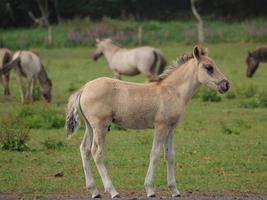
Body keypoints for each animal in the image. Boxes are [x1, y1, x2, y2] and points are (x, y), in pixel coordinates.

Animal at [65, 46, 230, 198]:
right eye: (208, 67)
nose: (226, 85)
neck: (172, 91)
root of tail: (84, 88)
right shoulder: (160, 127)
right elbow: (155, 154)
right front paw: (150, 190)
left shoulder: (171, 128)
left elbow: (170, 155)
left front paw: (174, 191)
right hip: (101, 126)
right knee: (97, 152)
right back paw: (113, 191)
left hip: (90, 126)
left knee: (84, 149)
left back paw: (94, 191)